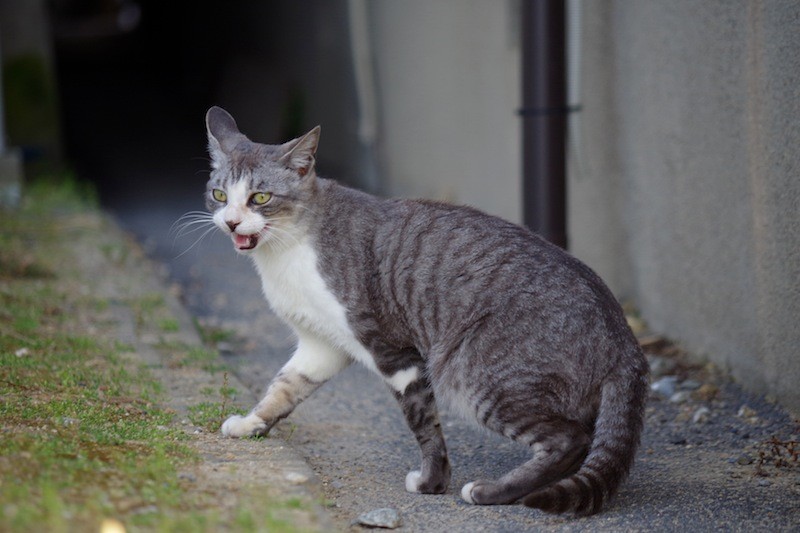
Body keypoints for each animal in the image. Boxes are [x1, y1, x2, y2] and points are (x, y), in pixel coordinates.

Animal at [203, 106, 648, 512]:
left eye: (261, 198)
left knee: (570, 439)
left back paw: (492, 491)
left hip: (474, 372)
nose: (230, 222)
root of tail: (625, 338)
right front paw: (251, 423)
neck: (287, 250)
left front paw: (432, 482)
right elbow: (283, 388)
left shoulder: (393, 350)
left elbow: (424, 424)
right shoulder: (322, 344)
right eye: (219, 195)